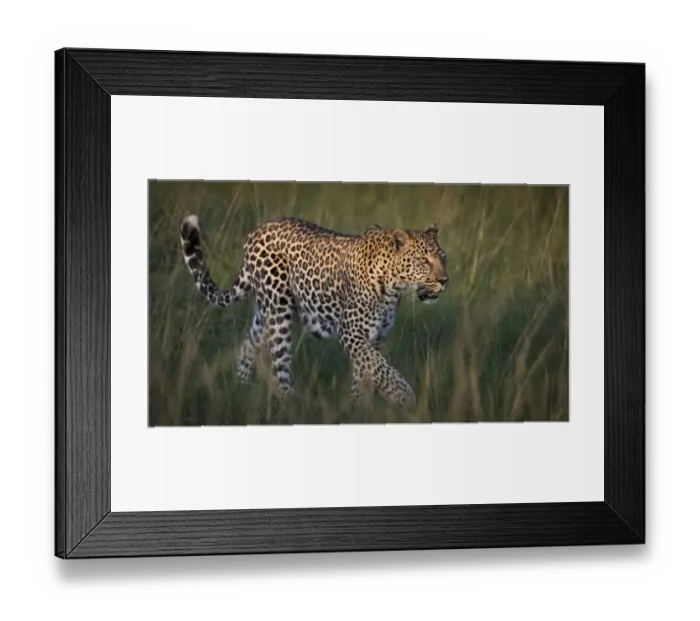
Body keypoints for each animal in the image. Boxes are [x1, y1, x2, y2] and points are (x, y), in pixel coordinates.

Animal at [179, 215, 449, 406]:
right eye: (424, 261)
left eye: (443, 258)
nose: (445, 281)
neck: (393, 288)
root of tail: (255, 232)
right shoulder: (351, 333)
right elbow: (380, 368)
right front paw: (404, 397)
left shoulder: (376, 336)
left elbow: (368, 370)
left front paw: (359, 406)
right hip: (279, 311)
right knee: (278, 365)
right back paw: (292, 403)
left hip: (265, 310)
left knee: (249, 344)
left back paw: (242, 387)